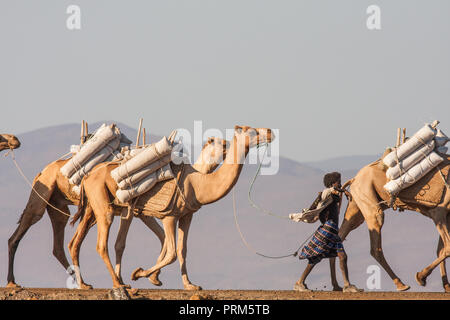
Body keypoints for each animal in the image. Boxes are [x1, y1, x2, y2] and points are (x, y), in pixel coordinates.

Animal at [5, 134, 227, 288]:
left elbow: (153, 239)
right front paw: (144, 276)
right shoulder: (142, 213)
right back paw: (13, 281)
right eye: (214, 141)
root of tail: (43, 170)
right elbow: (145, 240)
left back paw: (83, 283)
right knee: (24, 228)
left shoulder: (139, 213)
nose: (226, 144)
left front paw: (154, 278)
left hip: (68, 209)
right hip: (44, 196)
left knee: (65, 243)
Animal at [70, 125, 274, 290]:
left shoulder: (186, 216)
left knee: (81, 242)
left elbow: (182, 250)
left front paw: (189, 285)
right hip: (106, 207)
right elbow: (172, 253)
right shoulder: (169, 216)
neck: (197, 183)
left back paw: (92, 283)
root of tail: (88, 175)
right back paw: (117, 283)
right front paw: (140, 273)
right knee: (103, 244)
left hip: (97, 209)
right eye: (252, 131)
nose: (270, 132)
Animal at [326, 155, 450, 292]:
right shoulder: (438, 212)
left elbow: (440, 249)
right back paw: (400, 284)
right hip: (369, 201)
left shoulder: (446, 215)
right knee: (375, 246)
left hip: (356, 207)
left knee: (340, 235)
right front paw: (421, 277)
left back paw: (339, 285)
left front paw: (446, 286)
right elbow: (447, 247)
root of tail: (354, 179)